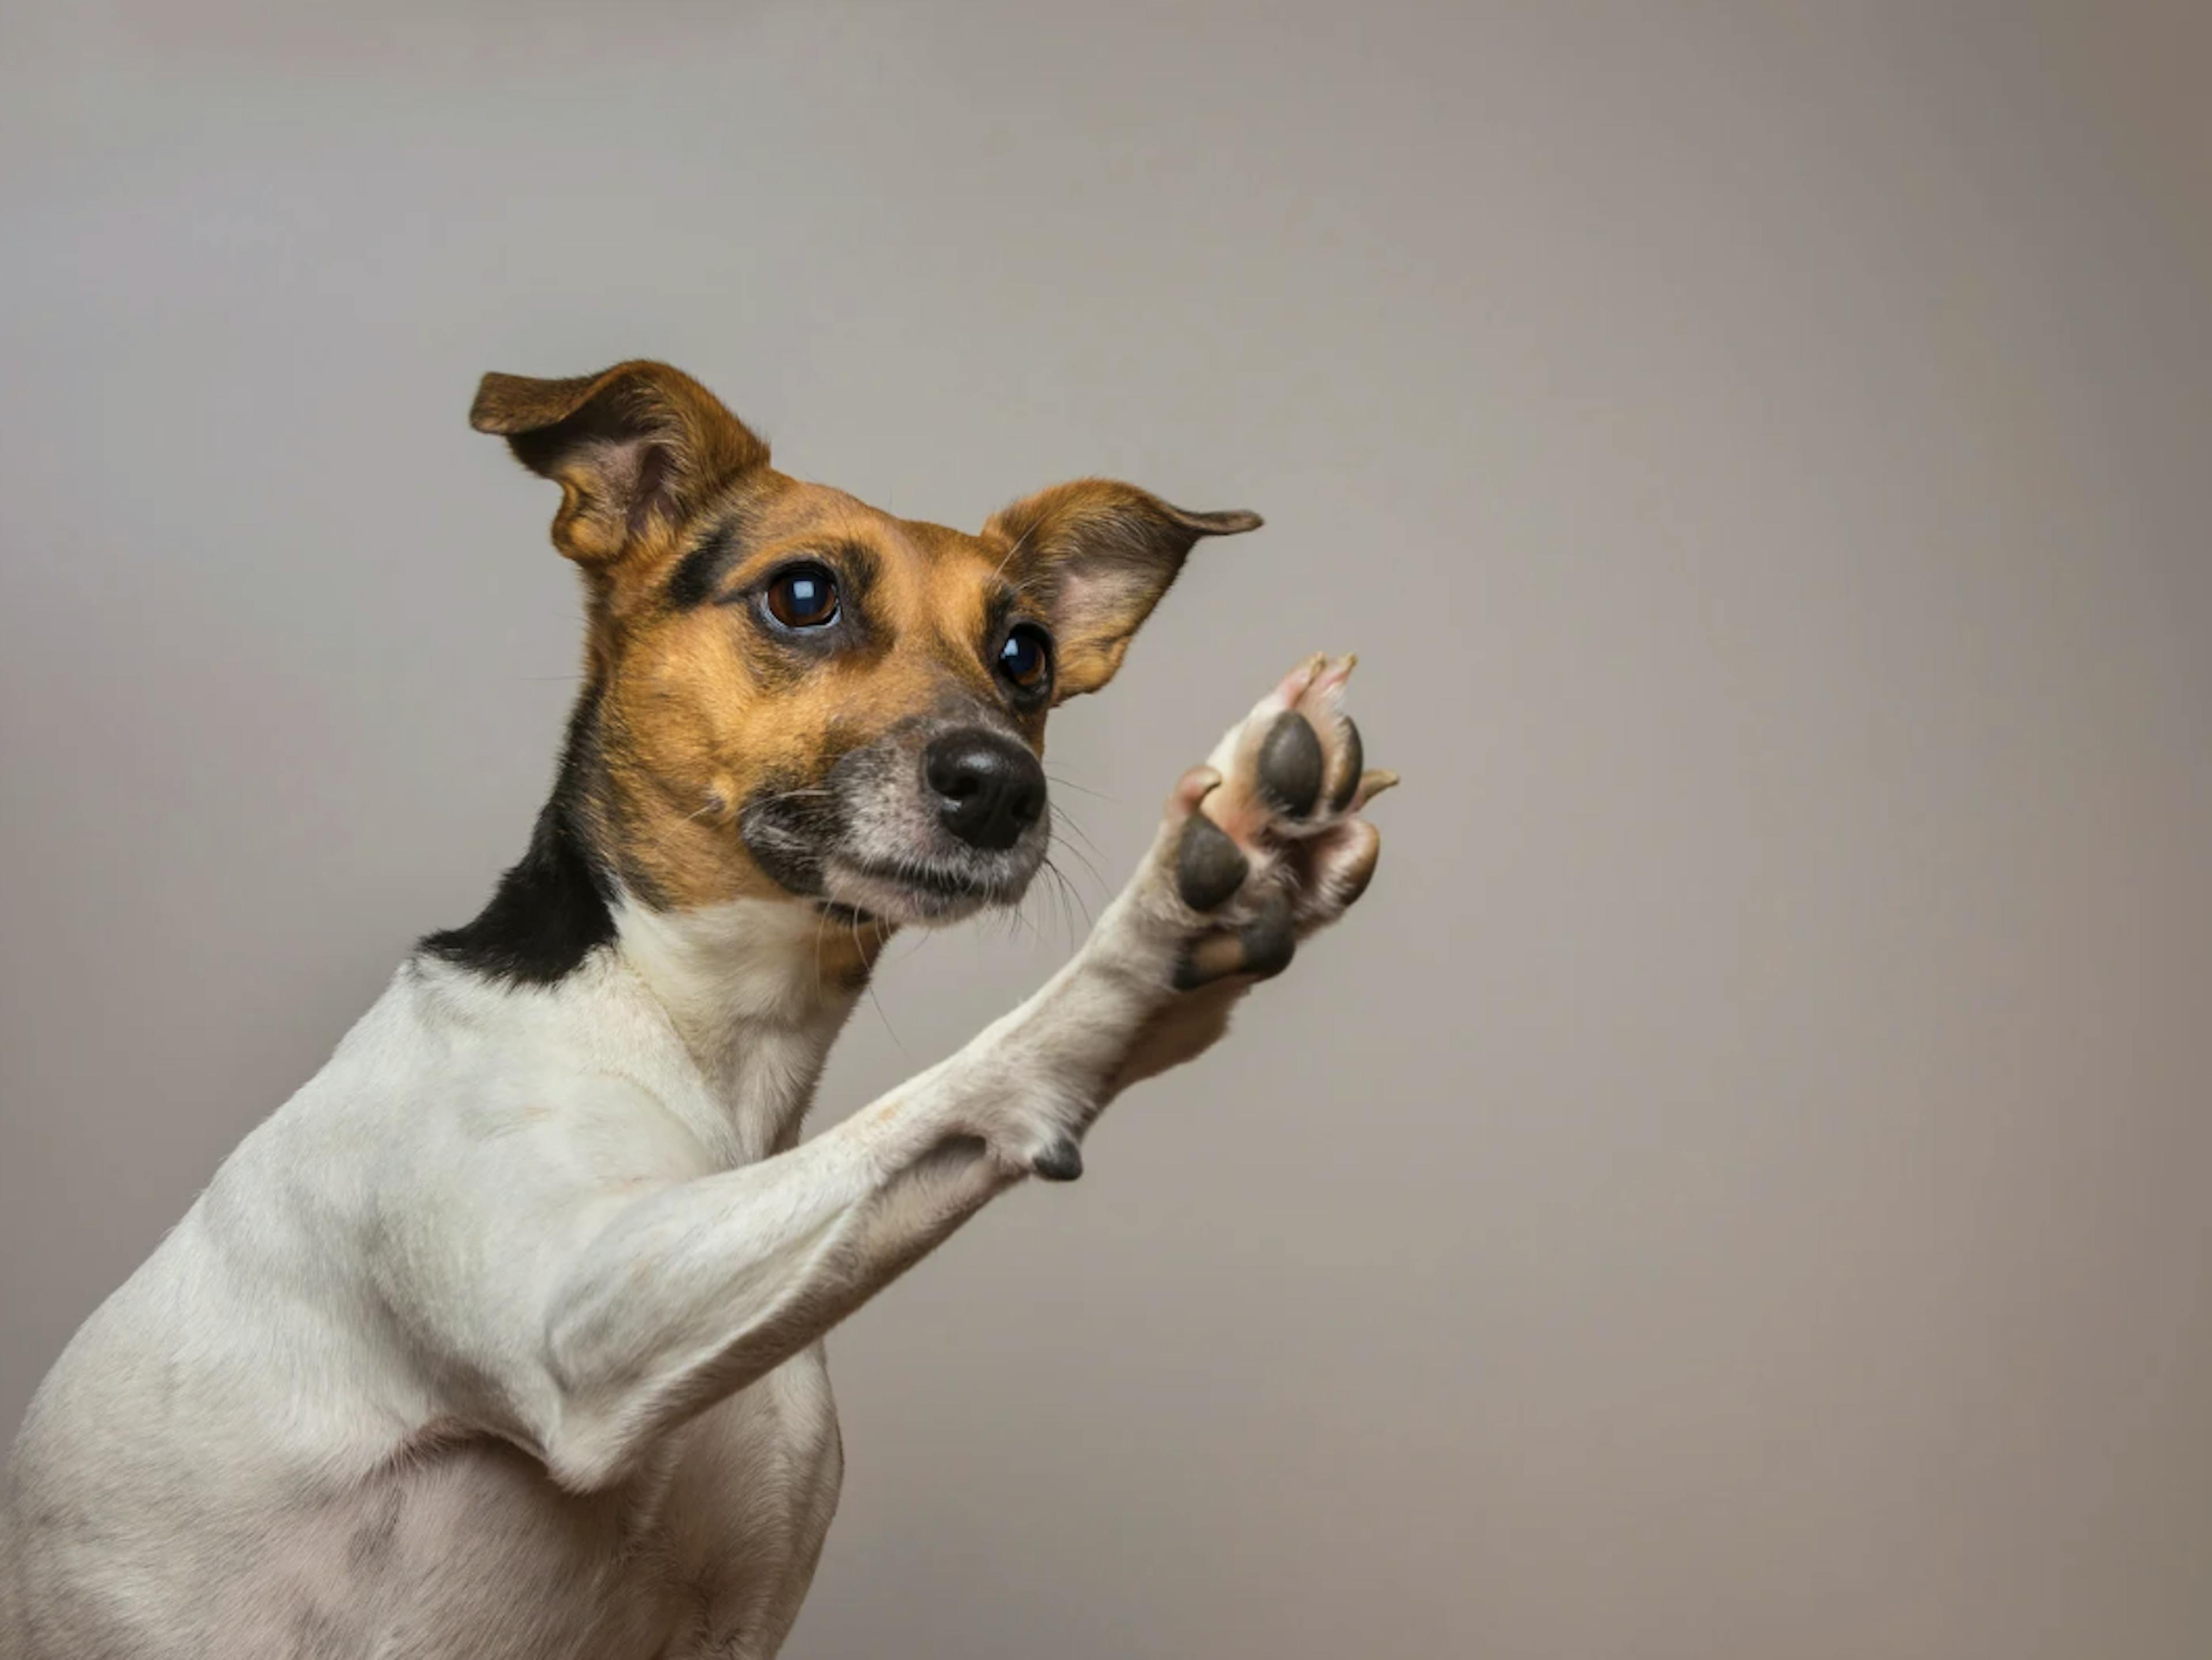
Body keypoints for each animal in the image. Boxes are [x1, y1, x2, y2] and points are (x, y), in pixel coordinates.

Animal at [0, 358, 1380, 1655]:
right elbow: (944, 1090)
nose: (1003, 788)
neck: (684, 1025)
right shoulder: (580, 1322)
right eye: (805, 595)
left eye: (1025, 654)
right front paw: (1175, 918)